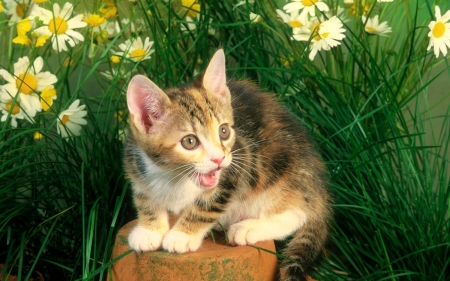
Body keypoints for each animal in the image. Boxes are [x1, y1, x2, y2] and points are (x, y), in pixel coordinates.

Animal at [123, 49, 330, 278]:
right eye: (189, 142)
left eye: (224, 131)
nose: (219, 158)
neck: (173, 175)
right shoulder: (136, 164)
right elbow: (145, 199)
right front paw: (148, 230)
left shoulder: (238, 163)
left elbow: (207, 205)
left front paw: (182, 234)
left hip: (277, 169)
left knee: (297, 213)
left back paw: (248, 228)